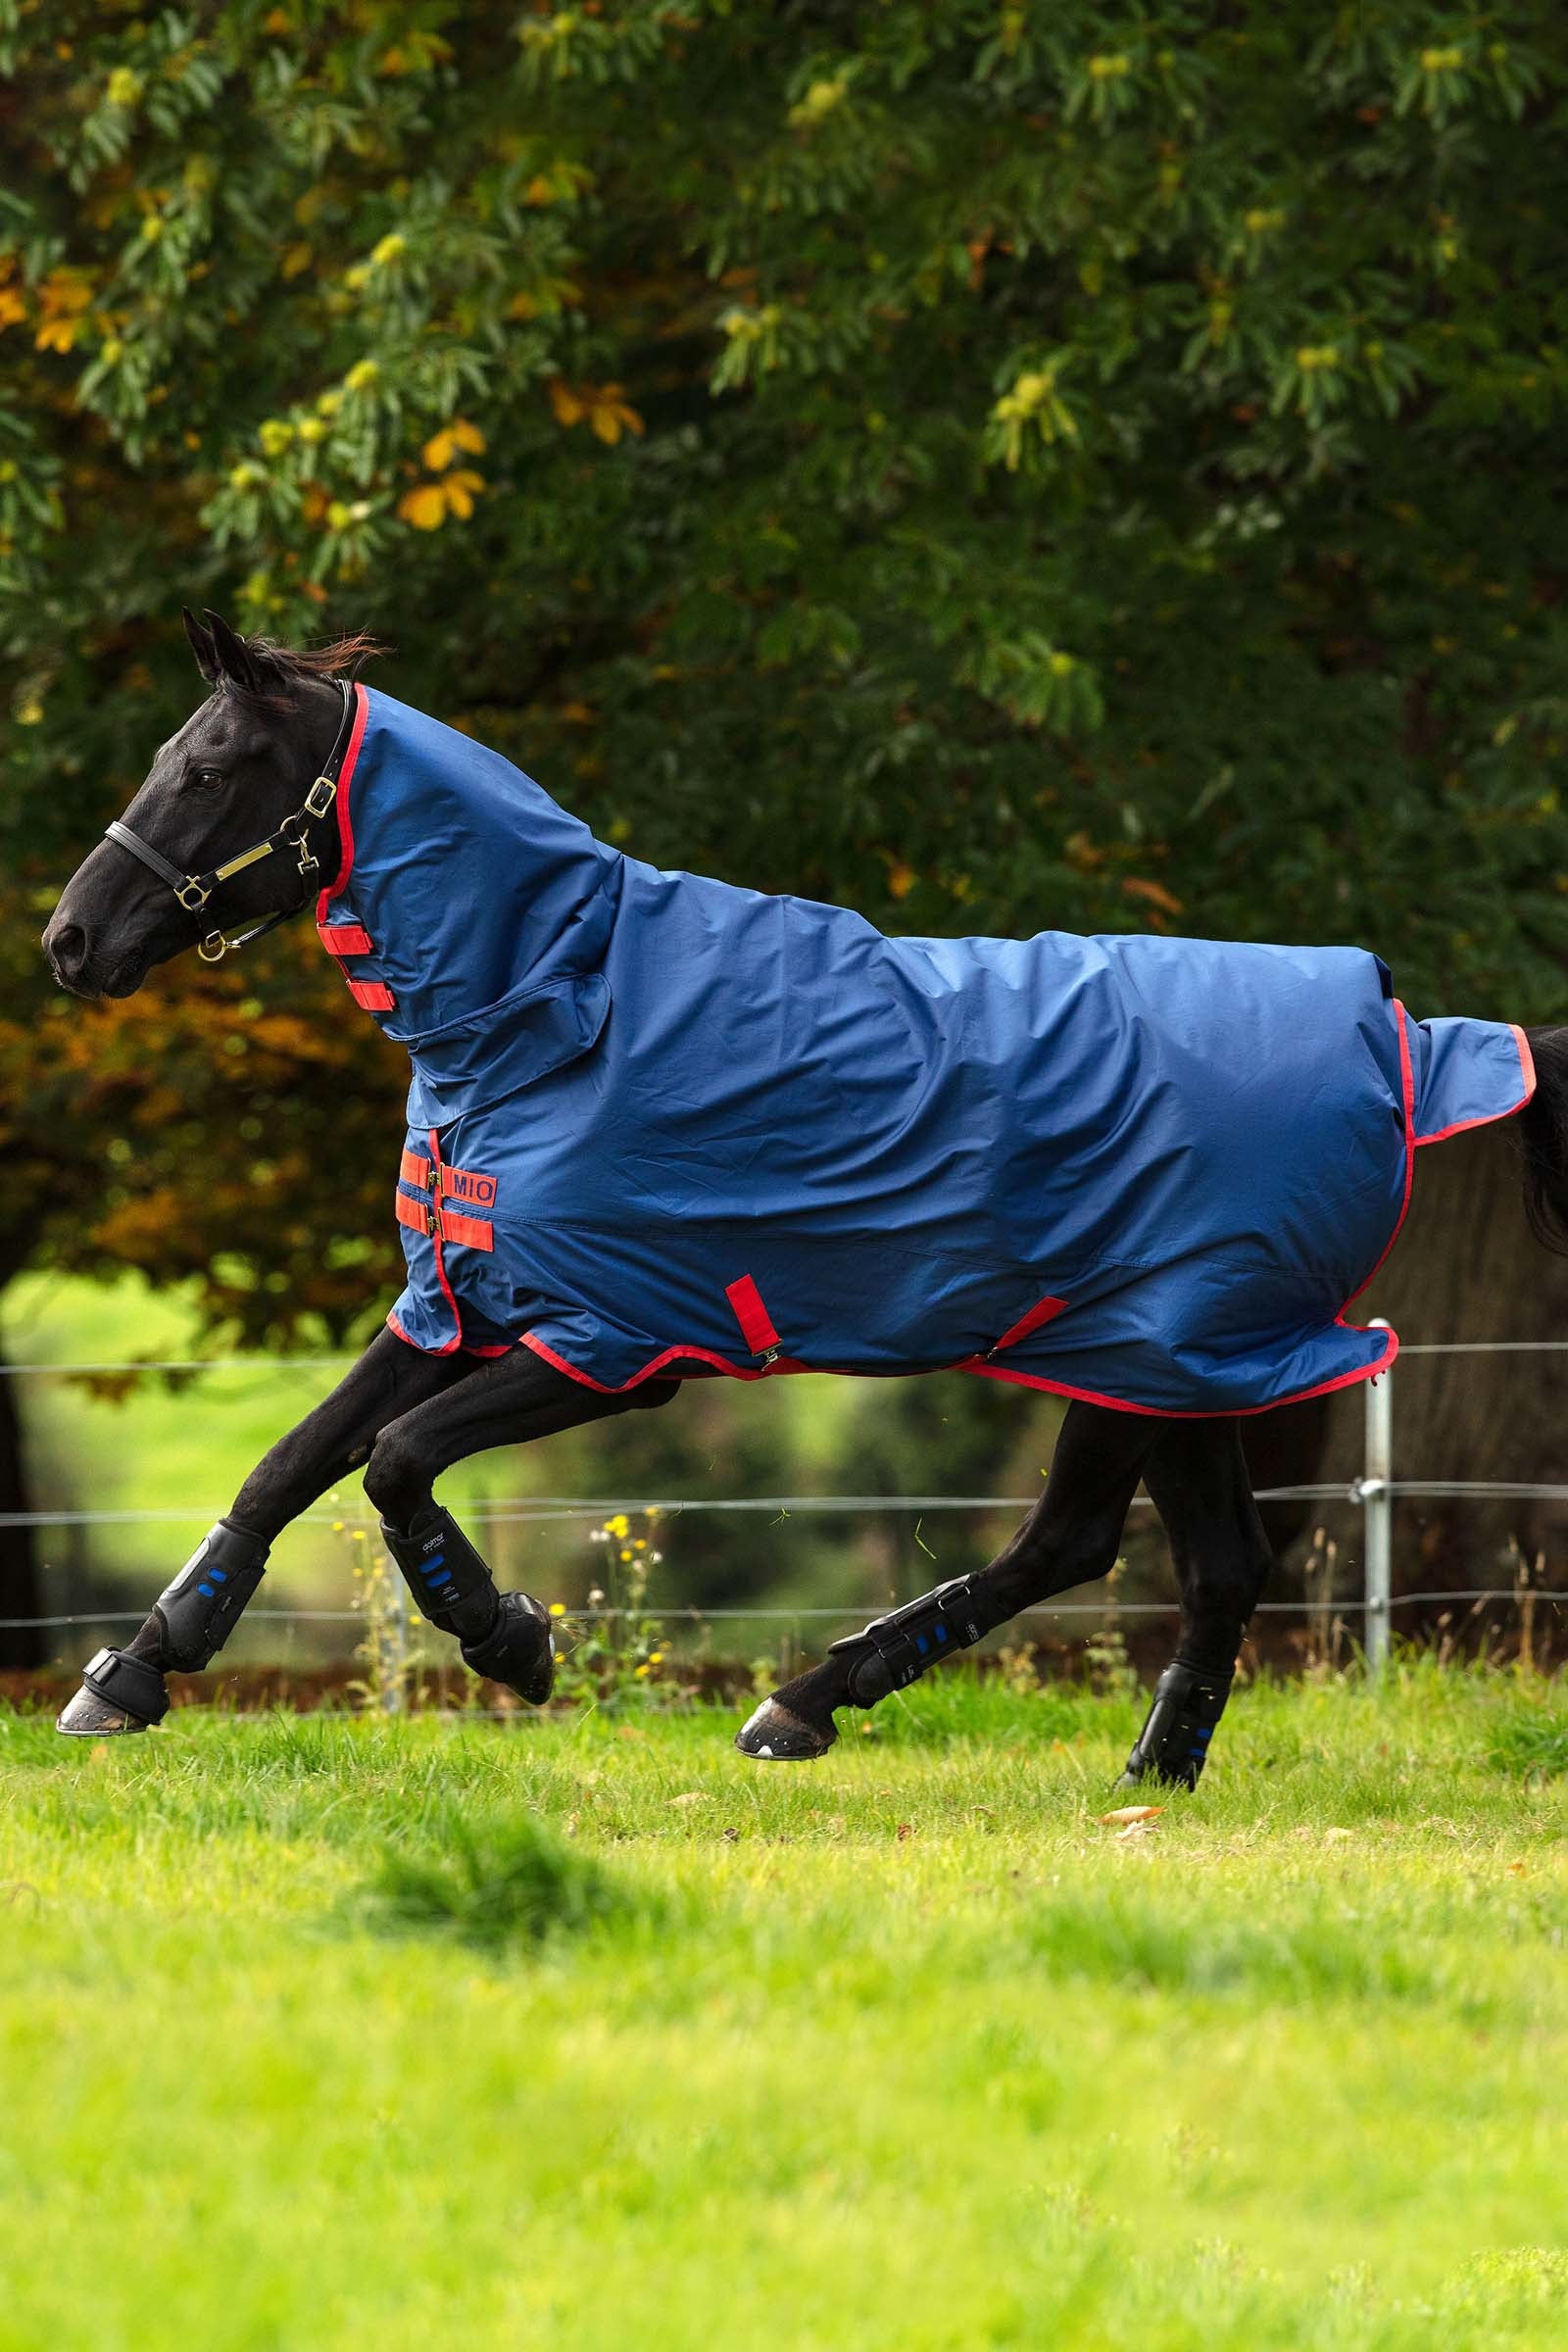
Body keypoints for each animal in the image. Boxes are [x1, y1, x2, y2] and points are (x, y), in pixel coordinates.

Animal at [42, 613, 1568, 1779]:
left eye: (211, 765)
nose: (69, 941)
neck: (557, 1009)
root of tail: (1404, 1032)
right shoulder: (458, 1308)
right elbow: (291, 1463)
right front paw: (134, 1674)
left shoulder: (612, 1345)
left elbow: (395, 1464)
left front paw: (510, 1639)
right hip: (1167, 1363)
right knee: (1190, 1561)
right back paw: (1125, 1763)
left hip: (1156, 1347)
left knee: (1100, 1546)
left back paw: (828, 1707)